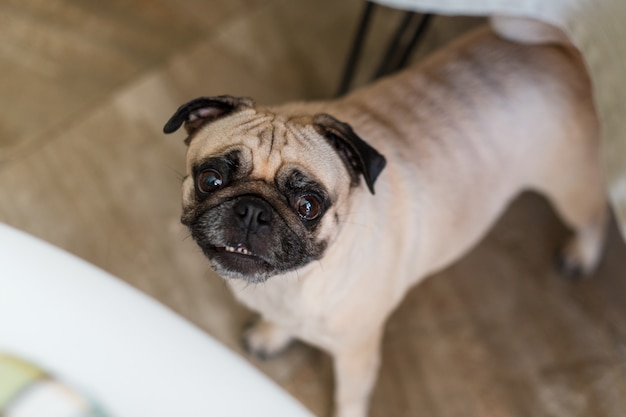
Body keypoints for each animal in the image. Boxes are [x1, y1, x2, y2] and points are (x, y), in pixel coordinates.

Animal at [162, 20, 604, 417]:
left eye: (308, 206)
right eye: (210, 179)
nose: (253, 210)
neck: (294, 281)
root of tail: (565, 50)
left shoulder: (357, 353)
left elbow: (349, 399)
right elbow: (282, 321)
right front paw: (272, 335)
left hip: (571, 189)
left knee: (594, 216)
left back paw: (582, 254)